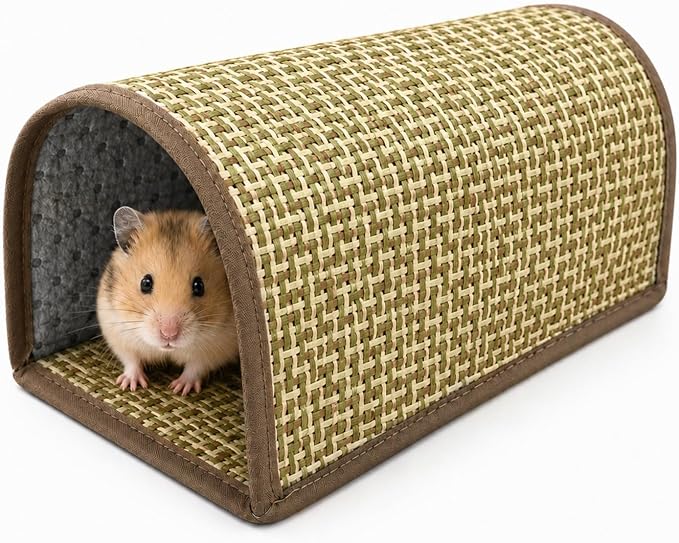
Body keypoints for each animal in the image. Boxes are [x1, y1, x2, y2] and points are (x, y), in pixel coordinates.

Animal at [96, 206, 239, 395]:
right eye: (145, 283)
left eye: (199, 286)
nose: (168, 334)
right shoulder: (117, 332)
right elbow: (131, 360)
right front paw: (130, 385)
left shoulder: (216, 349)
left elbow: (195, 367)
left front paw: (179, 389)